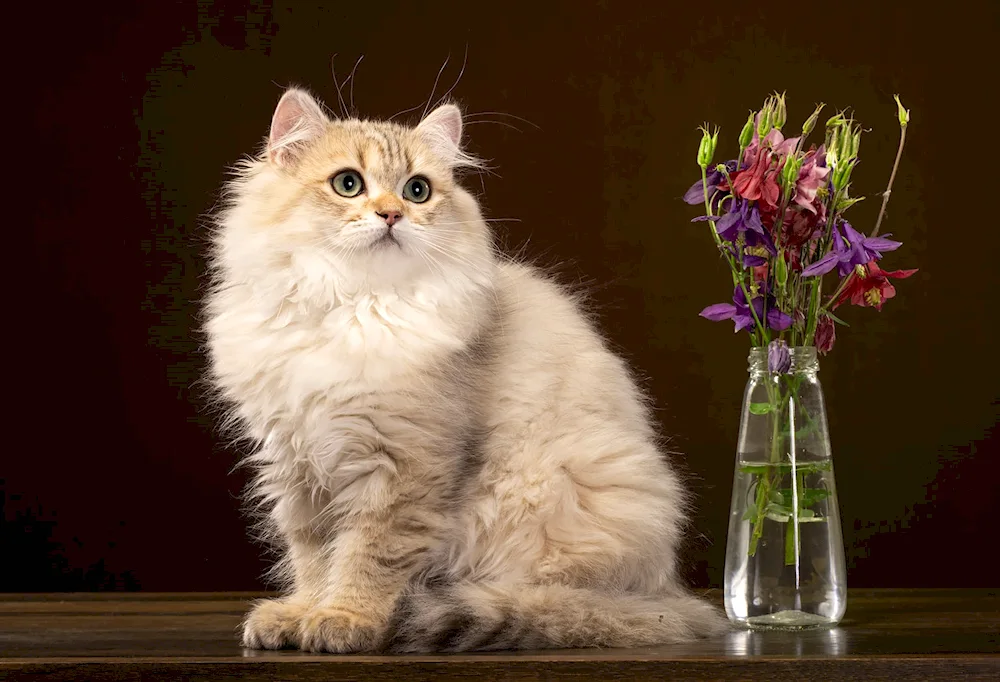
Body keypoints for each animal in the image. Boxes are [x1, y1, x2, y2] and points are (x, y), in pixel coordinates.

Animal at [201, 86, 728, 652]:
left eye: (417, 190)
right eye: (348, 184)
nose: (392, 215)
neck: (351, 304)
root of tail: (666, 596)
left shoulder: (404, 464)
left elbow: (367, 556)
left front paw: (344, 619)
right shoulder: (299, 463)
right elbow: (314, 556)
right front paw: (300, 614)